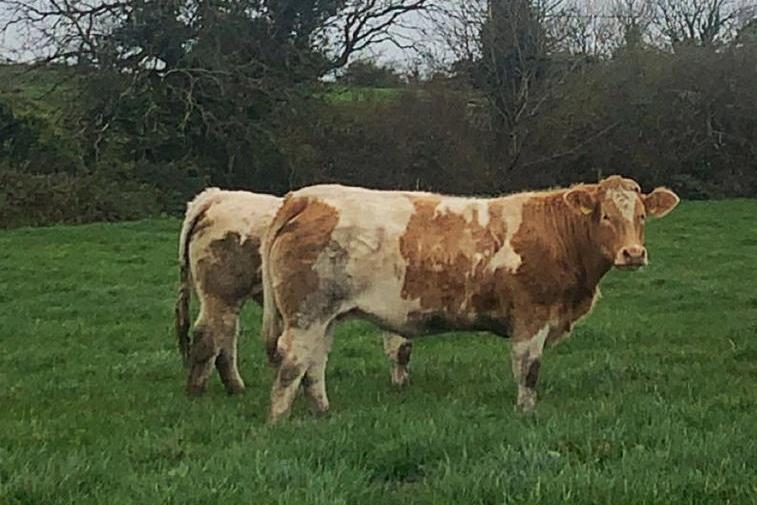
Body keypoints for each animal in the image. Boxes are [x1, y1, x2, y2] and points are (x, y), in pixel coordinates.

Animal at [174, 188, 413, 395]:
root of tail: (216, 195)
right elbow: (401, 347)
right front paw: (400, 382)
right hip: (221, 294)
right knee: (208, 335)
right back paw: (198, 390)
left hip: (225, 299)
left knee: (225, 336)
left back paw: (235, 388)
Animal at [261, 176, 679, 422]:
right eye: (605, 215)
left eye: (642, 215)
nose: (633, 253)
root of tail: (307, 196)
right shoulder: (532, 317)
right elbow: (528, 369)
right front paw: (526, 413)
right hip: (307, 315)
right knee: (292, 365)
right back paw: (278, 420)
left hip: (324, 317)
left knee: (314, 365)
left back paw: (323, 412)